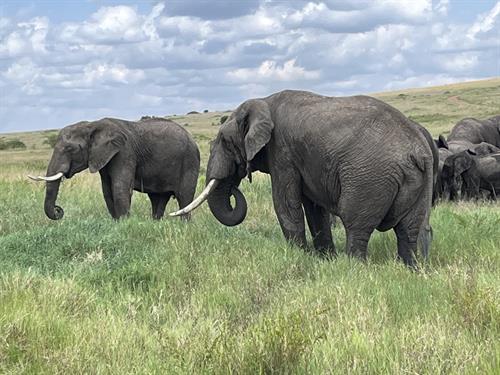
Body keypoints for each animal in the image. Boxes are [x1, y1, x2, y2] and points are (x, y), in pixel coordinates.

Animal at [28, 117, 199, 220]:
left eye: (70, 149)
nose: (58, 210)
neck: (93, 125)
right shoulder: (103, 158)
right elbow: (107, 191)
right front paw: (117, 223)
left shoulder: (124, 152)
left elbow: (119, 188)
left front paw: (124, 224)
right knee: (158, 199)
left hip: (190, 161)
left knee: (184, 197)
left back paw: (184, 226)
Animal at [173, 90, 438, 268]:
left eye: (226, 141)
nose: (235, 183)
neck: (264, 101)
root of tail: (418, 150)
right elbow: (314, 209)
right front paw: (324, 259)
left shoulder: (282, 152)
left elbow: (285, 203)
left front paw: (298, 255)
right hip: (420, 180)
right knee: (410, 230)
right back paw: (410, 270)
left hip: (369, 178)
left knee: (357, 225)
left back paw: (354, 267)